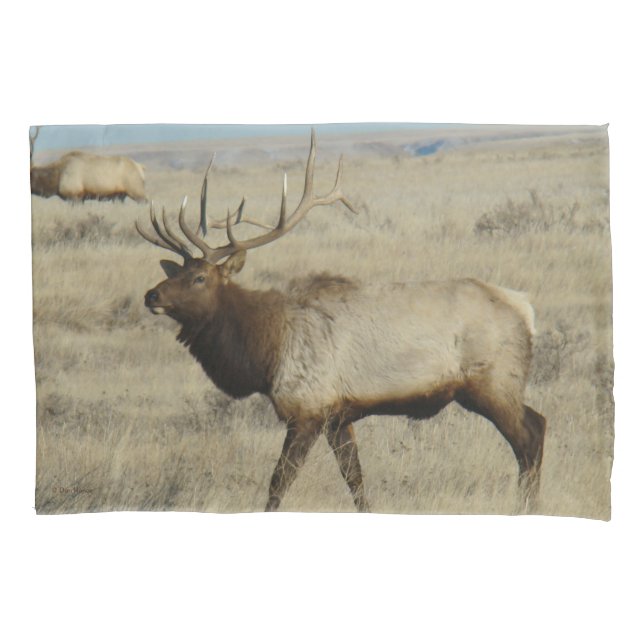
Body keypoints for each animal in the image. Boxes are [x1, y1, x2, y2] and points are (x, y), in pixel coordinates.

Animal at [137, 131, 546, 513]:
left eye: (200, 278)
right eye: (177, 272)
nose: (151, 296)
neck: (265, 350)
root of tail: (525, 308)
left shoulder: (307, 408)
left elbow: (279, 482)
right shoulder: (337, 414)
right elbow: (355, 479)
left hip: (493, 381)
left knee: (530, 435)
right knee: (536, 426)